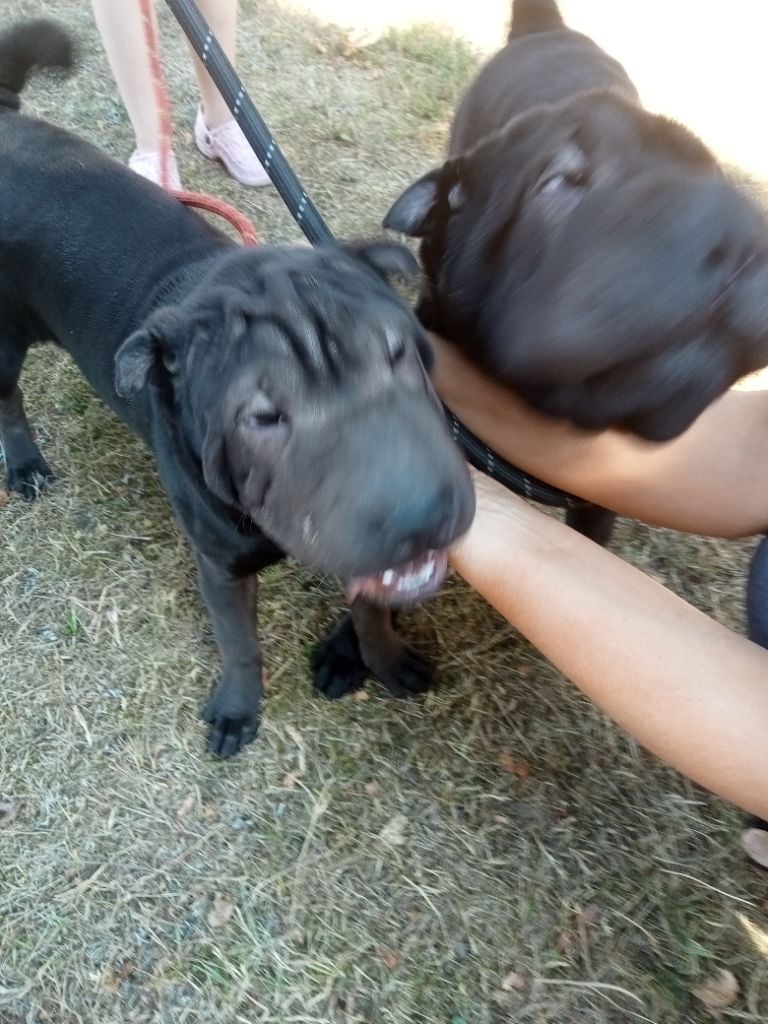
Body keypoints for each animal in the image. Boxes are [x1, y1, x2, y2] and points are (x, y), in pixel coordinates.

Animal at [0, 22, 475, 761]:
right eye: (262, 416)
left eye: (399, 353)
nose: (422, 513)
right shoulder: (220, 565)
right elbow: (240, 642)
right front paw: (236, 709)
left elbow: (372, 607)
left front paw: (386, 659)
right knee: (9, 402)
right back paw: (24, 466)